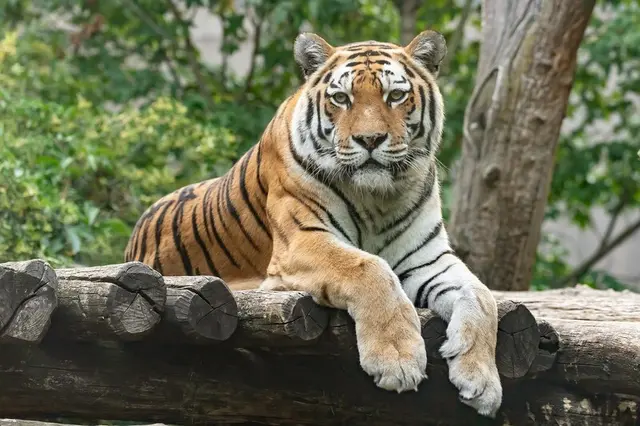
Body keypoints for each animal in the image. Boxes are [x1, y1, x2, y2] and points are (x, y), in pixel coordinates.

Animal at [124, 30, 502, 417]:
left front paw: (482, 381)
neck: (378, 199)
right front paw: (398, 359)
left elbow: (482, 297)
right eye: (341, 98)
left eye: (395, 96)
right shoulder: (302, 241)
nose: (369, 140)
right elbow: (369, 267)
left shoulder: (428, 259)